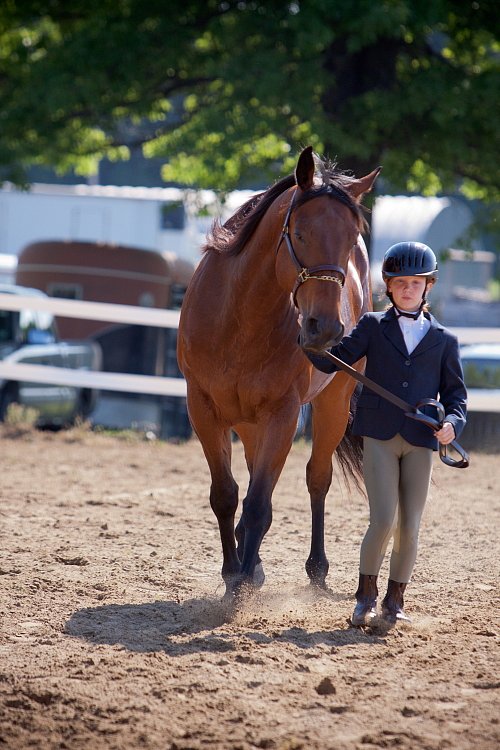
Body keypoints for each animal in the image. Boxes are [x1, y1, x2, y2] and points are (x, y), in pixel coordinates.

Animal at [178, 147, 380, 604]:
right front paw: (234, 570)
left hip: (332, 404)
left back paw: (315, 569)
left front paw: (240, 582)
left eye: (350, 240)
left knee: (316, 479)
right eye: (300, 234)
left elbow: (260, 503)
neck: (239, 318)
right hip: (248, 422)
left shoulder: (283, 415)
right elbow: (226, 495)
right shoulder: (203, 409)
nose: (326, 329)